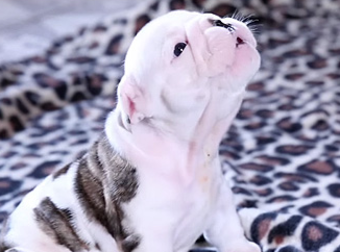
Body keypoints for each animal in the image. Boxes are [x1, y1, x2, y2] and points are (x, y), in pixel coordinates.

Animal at [0, 9, 260, 252]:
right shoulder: (148, 236)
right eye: (179, 49)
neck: (187, 149)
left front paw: (243, 247)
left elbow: (229, 231)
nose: (220, 22)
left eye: (213, 16)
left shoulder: (219, 200)